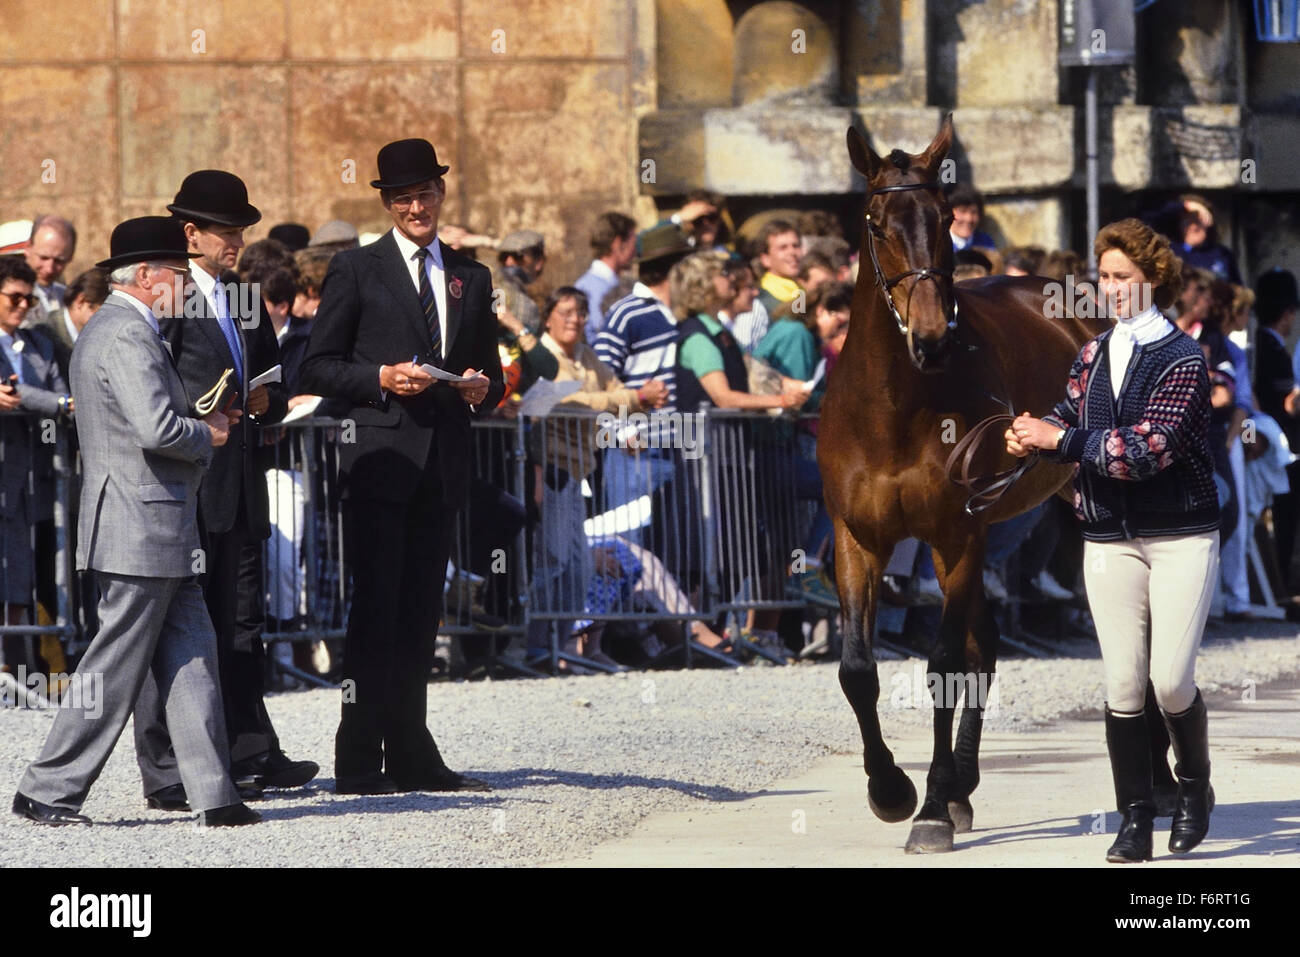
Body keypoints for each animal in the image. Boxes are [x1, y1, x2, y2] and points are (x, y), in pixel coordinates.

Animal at [821, 115, 1107, 858]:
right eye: (877, 222)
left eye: (945, 217)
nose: (932, 337)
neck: (895, 405)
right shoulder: (858, 537)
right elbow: (857, 669)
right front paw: (891, 789)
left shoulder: (956, 534)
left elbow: (945, 661)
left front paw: (928, 809)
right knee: (987, 646)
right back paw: (960, 787)